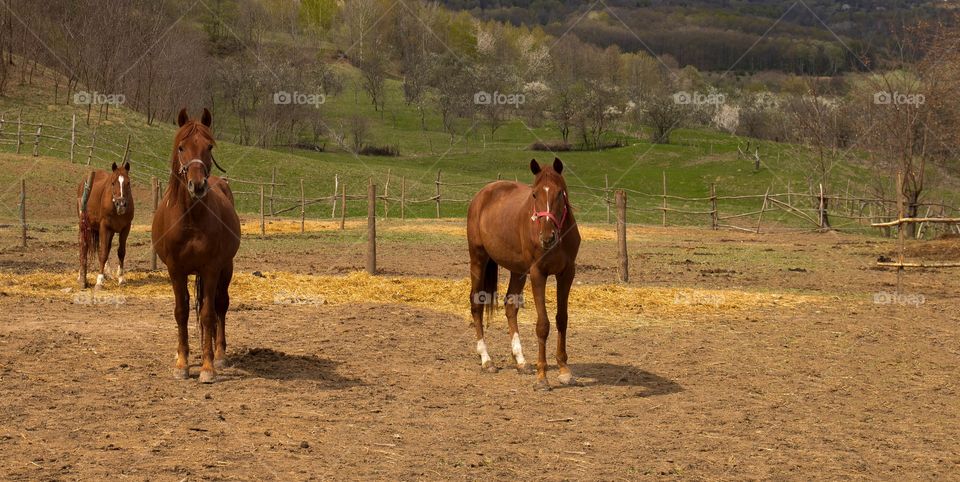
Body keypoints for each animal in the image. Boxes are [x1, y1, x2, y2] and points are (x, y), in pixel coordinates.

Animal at [77, 162, 134, 290]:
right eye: (113, 183)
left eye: (128, 182)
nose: (121, 204)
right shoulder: (104, 227)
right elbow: (102, 253)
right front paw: (99, 281)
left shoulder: (125, 228)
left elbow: (121, 252)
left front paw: (121, 279)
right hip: (84, 225)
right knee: (83, 247)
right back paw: (81, 277)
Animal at [152, 109, 240, 384]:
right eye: (181, 147)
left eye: (208, 146)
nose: (197, 185)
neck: (190, 218)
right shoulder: (175, 270)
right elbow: (181, 312)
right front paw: (182, 364)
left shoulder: (211, 269)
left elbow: (208, 314)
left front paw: (208, 368)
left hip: (226, 268)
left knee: (220, 305)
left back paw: (219, 354)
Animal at [466, 158, 580, 392]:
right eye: (534, 194)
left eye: (560, 193)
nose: (547, 237)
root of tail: (481, 195)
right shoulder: (538, 273)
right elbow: (543, 325)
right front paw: (542, 378)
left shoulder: (567, 274)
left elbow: (562, 319)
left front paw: (564, 371)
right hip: (478, 259)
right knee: (476, 304)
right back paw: (486, 359)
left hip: (517, 271)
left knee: (510, 307)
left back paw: (521, 361)